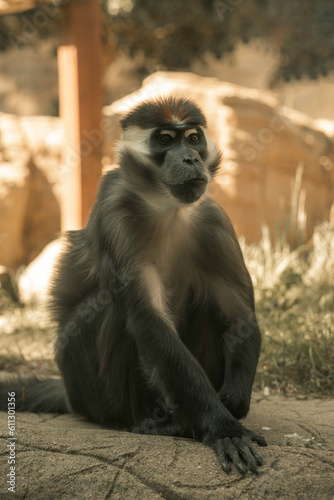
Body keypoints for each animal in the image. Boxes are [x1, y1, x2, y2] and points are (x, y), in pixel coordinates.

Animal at [0, 96, 266, 472]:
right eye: (166, 140)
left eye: (194, 138)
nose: (191, 158)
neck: (166, 209)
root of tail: (69, 392)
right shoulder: (115, 214)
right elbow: (148, 321)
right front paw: (222, 426)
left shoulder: (215, 221)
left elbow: (239, 317)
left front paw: (232, 403)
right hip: (90, 387)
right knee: (114, 311)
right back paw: (153, 422)